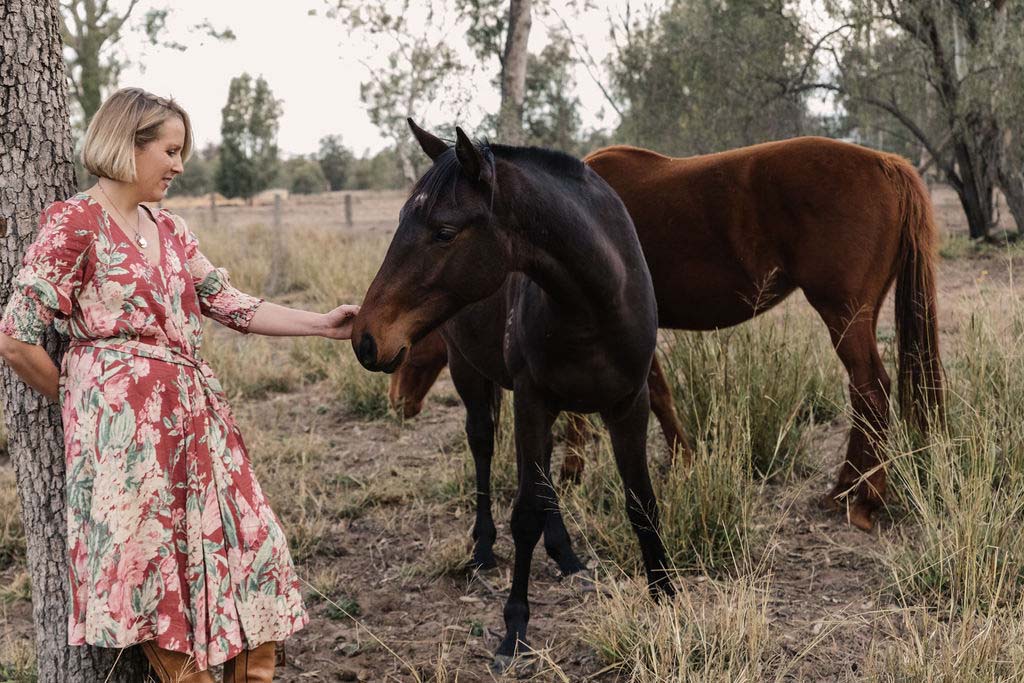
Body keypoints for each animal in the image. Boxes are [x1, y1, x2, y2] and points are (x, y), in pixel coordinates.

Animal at [352, 120, 671, 671]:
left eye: (444, 232)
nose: (366, 339)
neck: (597, 302)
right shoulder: (531, 401)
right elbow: (525, 515)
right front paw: (514, 629)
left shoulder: (628, 406)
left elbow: (640, 502)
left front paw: (666, 593)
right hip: (471, 376)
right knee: (483, 445)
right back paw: (483, 550)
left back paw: (567, 556)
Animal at [391, 136, 942, 532]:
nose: (397, 401)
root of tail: (886, 163)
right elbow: (658, 396)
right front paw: (684, 463)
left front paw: (575, 471)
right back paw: (849, 490)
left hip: (844, 314)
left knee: (871, 390)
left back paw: (862, 498)